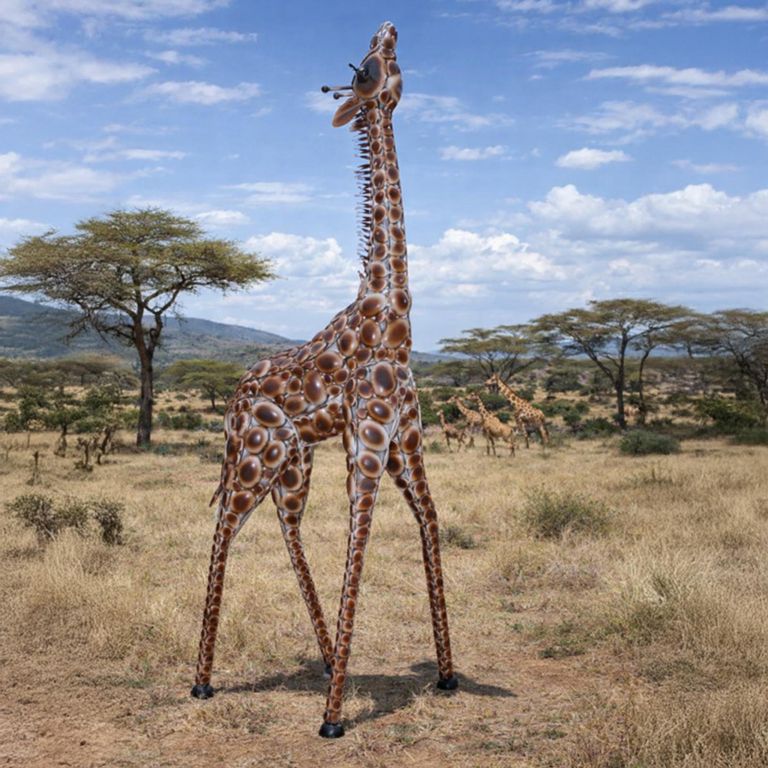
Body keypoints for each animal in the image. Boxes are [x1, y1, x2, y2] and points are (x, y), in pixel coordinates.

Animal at [190, 22, 456, 739]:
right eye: (366, 68)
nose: (389, 28)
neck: (392, 315)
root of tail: (234, 395)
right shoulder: (368, 435)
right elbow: (360, 533)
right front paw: (334, 719)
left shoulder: (405, 435)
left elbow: (429, 519)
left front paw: (449, 675)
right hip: (254, 457)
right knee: (225, 525)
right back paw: (201, 681)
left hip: (294, 459)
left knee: (287, 527)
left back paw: (328, 654)